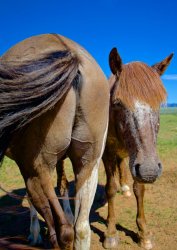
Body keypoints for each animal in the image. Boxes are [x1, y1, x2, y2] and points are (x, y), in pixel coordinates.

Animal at [0, 33, 110, 250]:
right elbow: (64, 184)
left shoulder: (28, 168)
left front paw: (34, 234)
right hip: (89, 165)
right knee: (82, 228)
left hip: (37, 171)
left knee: (63, 229)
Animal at [103, 47, 174, 249]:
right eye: (117, 103)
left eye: (159, 104)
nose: (150, 171)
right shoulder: (108, 153)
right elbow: (110, 188)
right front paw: (111, 232)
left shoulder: (138, 160)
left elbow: (139, 189)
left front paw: (144, 233)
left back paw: (125, 188)